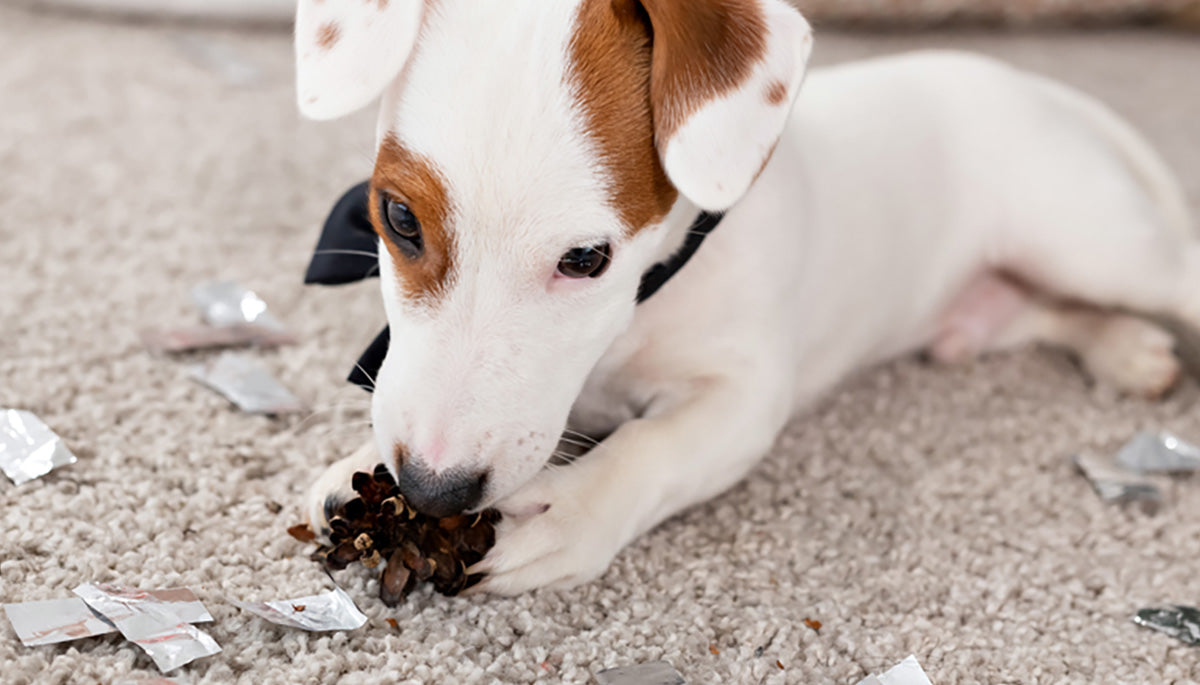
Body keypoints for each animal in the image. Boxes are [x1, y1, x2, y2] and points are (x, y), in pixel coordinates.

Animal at [295, 0, 1195, 595]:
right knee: (1045, 310)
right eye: (399, 218)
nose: (430, 492)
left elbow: (648, 449)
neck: (647, 298)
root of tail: (1035, 87)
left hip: (1093, 242)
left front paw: (567, 508)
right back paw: (1124, 348)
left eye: (586, 258)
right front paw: (358, 465)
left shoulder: (742, 396)